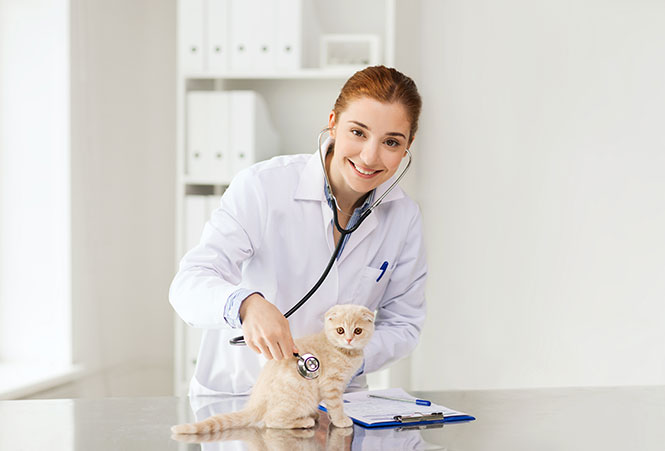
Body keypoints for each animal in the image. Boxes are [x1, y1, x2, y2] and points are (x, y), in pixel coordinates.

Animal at [171, 304, 374, 434]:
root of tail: (256, 402)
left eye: (357, 331)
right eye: (340, 330)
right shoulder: (331, 385)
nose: (349, 339)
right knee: (271, 420)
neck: (342, 351)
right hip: (299, 399)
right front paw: (341, 420)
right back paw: (305, 421)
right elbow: (336, 405)